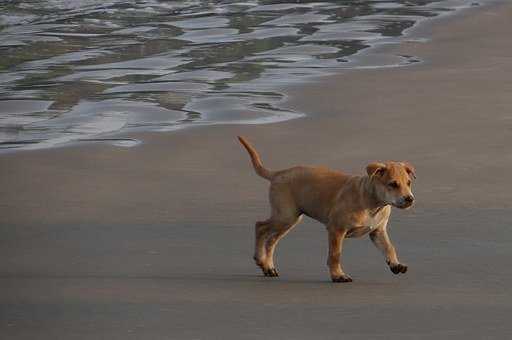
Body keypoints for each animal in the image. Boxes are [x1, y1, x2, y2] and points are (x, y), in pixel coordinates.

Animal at [237, 135, 416, 282]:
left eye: (408, 183)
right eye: (393, 184)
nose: (410, 199)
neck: (372, 203)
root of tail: (278, 173)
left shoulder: (377, 231)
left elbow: (389, 247)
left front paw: (396, 264)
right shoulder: (336, 229)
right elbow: (335, 255)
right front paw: (338, 275)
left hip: (290, 219)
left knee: (271, 240)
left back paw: (268, 267)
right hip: (285, 216)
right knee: (260, 227)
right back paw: (261, 259)